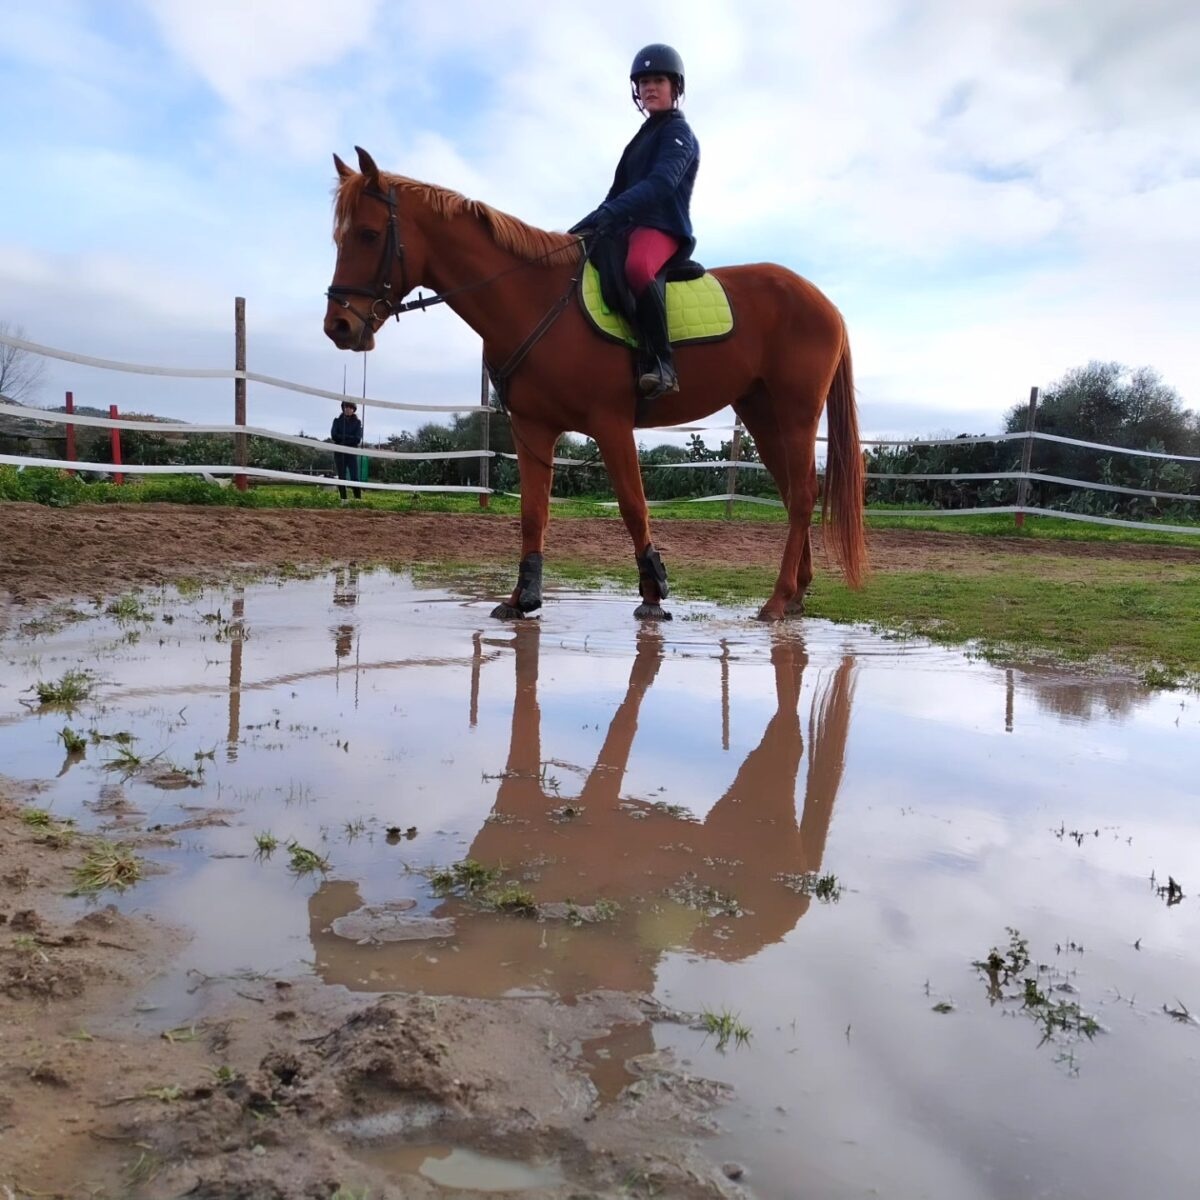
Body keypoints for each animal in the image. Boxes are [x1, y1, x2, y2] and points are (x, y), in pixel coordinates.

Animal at [323, 146, 867, 622]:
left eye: (369, 235)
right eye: (339, 238)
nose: (339, 327)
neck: (534, 298)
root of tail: (825, 303)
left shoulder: (611, 424)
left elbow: (633, 506)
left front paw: (653, 591)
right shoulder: (533, 429)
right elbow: (533, 513)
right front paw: (523, 598)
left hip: (796, 414)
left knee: (802, 495)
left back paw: (777, 600)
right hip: (762, 414)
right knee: (795, 494)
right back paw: (796, 594)